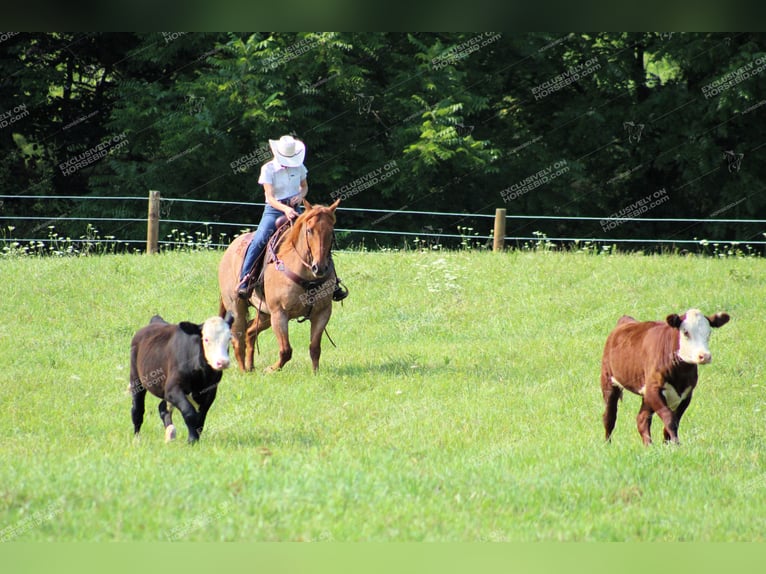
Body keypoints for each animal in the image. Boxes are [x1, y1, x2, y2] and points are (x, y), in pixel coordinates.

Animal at [130, 316, 234, 446]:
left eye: (229, 338)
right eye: (206, 339)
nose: (223, 362)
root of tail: (156, 321)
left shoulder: (211, 391)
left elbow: (201, 417)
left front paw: (196, 438)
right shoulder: (172, 389)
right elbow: (189, 412)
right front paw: (192, 440)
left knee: (162, 408)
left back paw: (170, 434)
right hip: (136, 379)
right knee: (137, 409)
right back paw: (137, 439)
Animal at [222, 200, 342, 376]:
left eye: (331, 232)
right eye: (309, 230)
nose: (319, 268)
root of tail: (230, 249)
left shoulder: (322, 313)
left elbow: (315, 348)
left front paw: (315, 374)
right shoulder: (279, 313)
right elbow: (286, 350)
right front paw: (270, 369)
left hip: (265, 313)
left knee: (250, 332)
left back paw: (251, 368)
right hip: (237, 307)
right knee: (238, 339)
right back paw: (244, 371)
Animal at [600, 308, 732, 448]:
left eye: (709, 332)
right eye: (686, 332)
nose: (705, 356)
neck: (680, 374)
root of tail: (626, 320)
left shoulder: (686, 394)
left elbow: (674, 421)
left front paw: (668, 445)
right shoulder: (654, 389)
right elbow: (669, 418)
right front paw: (676, 443)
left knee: (642, 418)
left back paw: (649, 446)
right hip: (608, 381)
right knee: (609, 417)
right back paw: (607, 444)